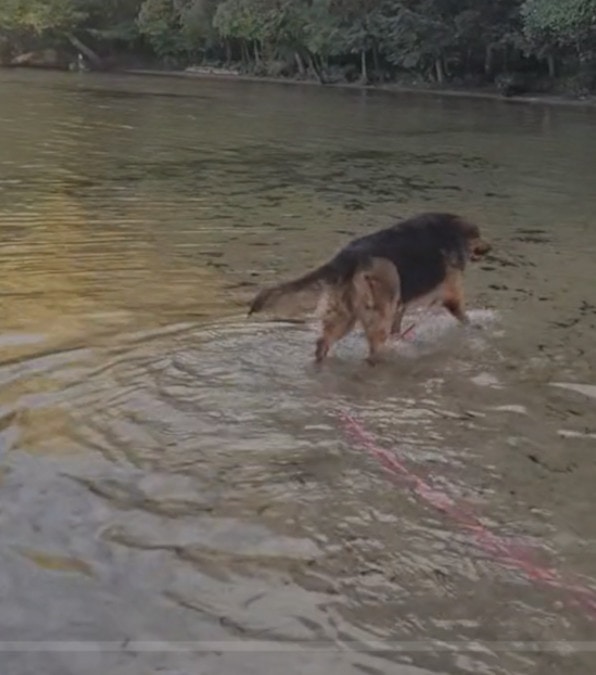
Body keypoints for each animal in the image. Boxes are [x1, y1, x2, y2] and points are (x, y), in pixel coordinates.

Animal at [249, 214, 492, 364]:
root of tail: (347, 257)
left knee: (322, 343)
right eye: (479, 236)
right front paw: (477, 327)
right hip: (376, 311)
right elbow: (464, 316)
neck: (454, 233)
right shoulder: (452, 293)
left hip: (346, 315)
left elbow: (399, 326)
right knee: (373, 349)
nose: (490, 248)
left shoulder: (400, 305)